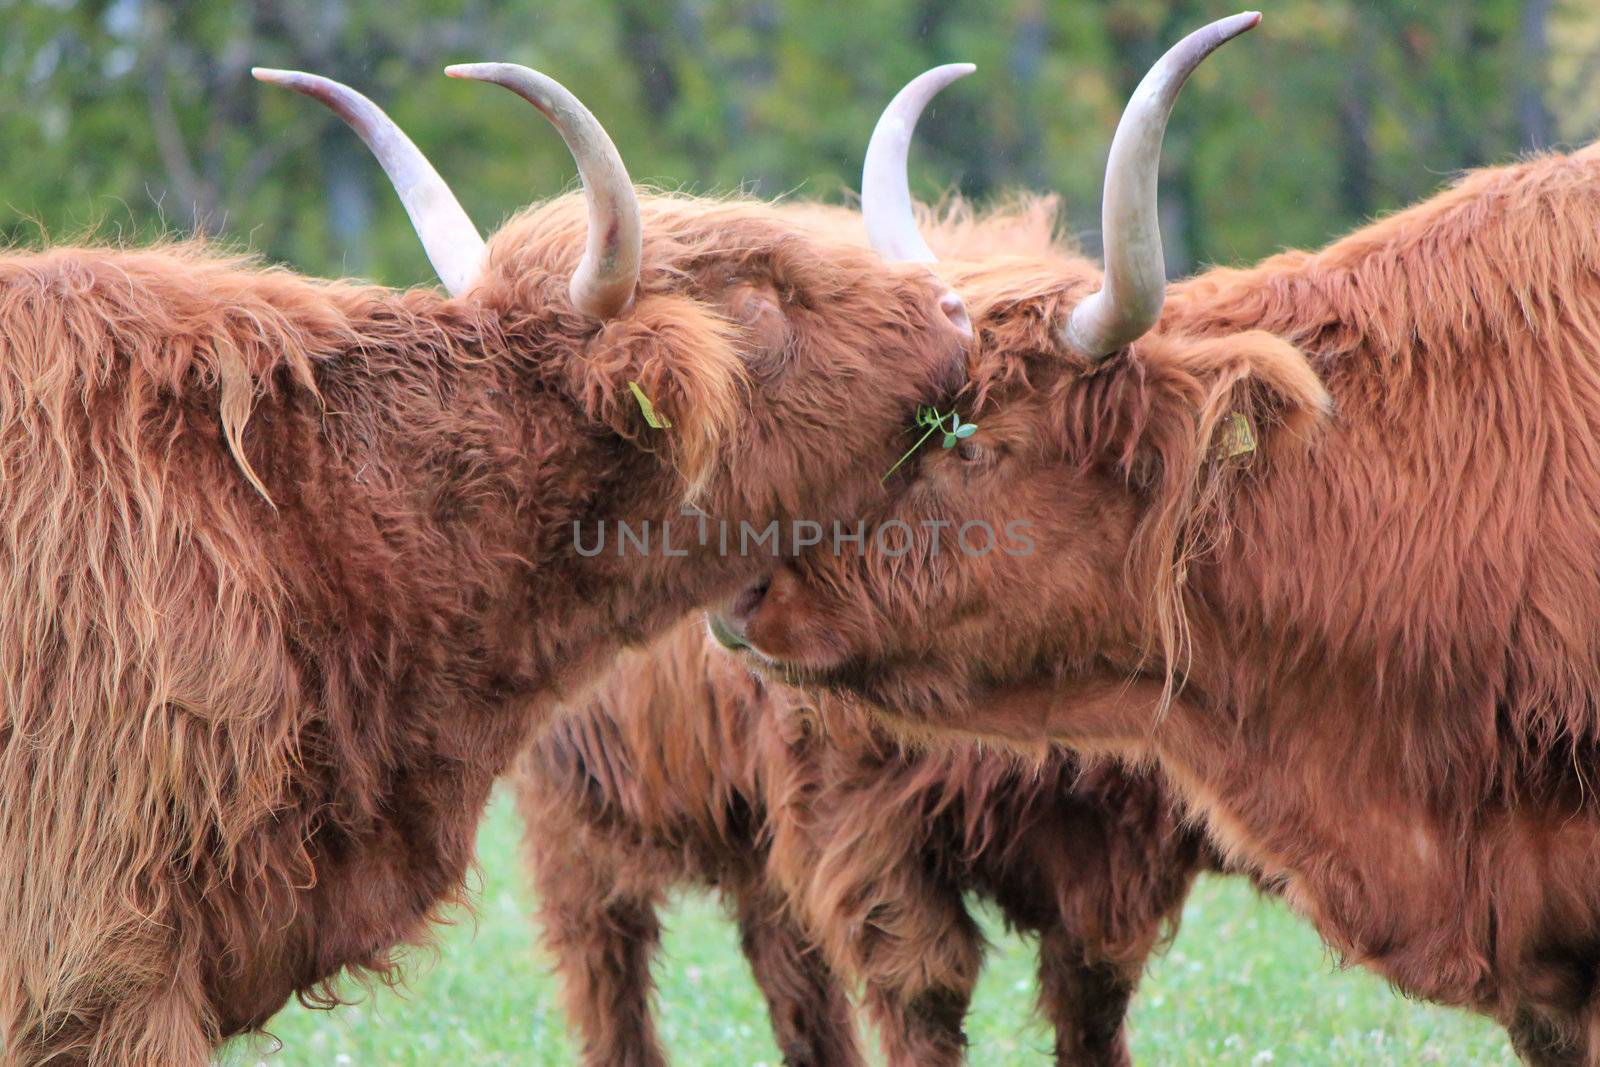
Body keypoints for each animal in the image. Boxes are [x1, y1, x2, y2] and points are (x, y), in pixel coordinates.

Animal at [518, 617, 1203, 1067]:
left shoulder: (1106, 865)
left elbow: (1091, 1000)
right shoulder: (854, 812)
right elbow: (925, 985)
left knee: (790, 978)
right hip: (579, 799)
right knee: (605, 965)